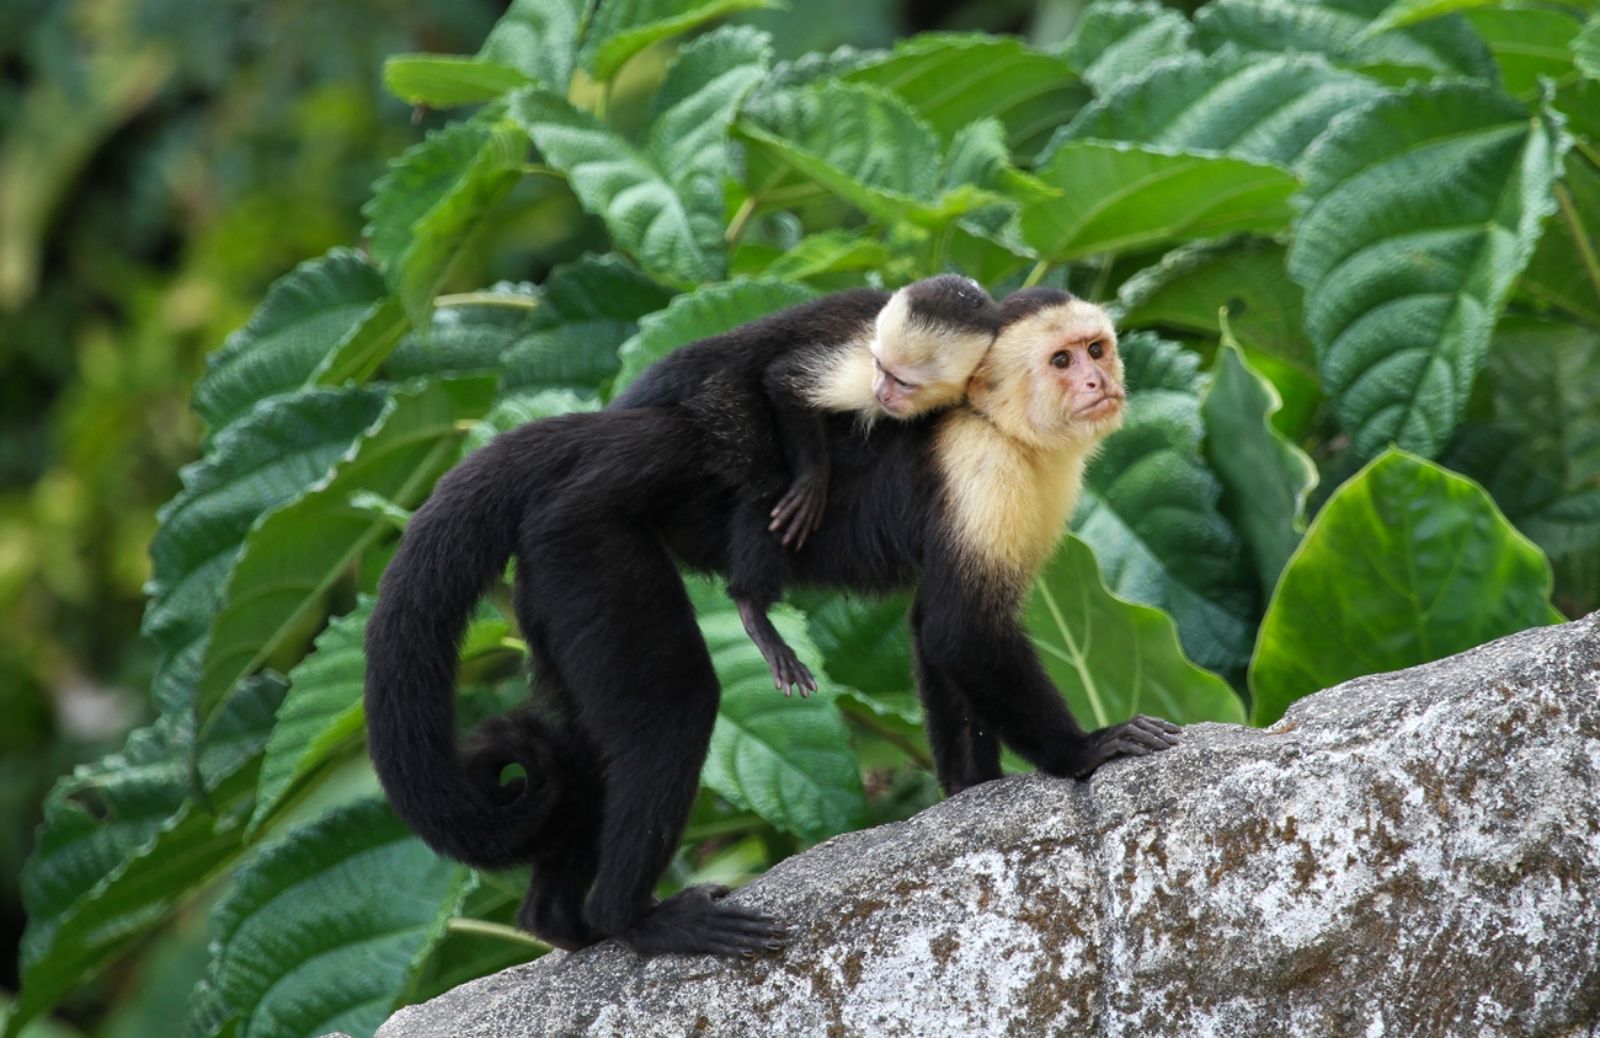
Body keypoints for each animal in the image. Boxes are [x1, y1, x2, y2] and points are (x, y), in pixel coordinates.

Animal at [611, 273, 998, 697]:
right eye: (881, 367)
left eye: (903, 382)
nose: (882, 392)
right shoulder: (859, 363)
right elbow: (785, 380)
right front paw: (814, 479)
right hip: (719, 396)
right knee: (763, 475)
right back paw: (752, 606)